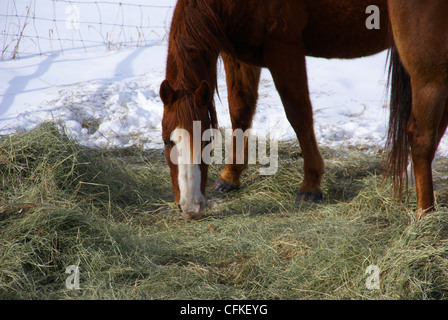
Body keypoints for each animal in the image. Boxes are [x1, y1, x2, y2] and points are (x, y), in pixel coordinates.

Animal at [159, 0, 390, 219]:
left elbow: (299, 114)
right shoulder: (237, 55)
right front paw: (230, 176)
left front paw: (311, 185)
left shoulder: (284, 47)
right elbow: (240, 111)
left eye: (207, 141)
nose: (190, 207)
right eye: (166, 142)